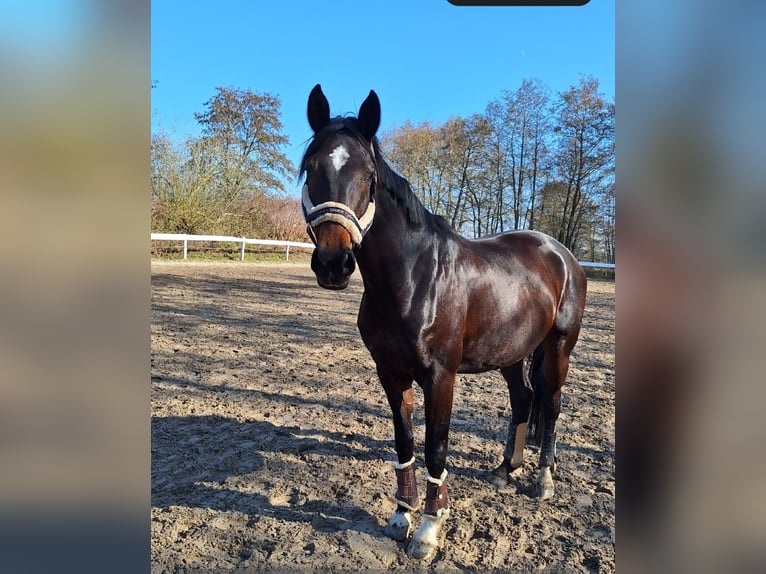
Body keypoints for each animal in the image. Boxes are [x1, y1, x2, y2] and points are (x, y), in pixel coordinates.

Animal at [299, 84, 587, 559]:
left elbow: (436, 448)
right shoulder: (390, 373)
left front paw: (428, 531)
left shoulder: (441, 377)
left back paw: (543, 479)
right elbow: (404, 442)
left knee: (550, 403)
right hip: (512, 352)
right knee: (523, 399)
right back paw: (505, 470)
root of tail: (561, 254)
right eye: (310, 169)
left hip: (558, 345)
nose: (333, 264)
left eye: (369, 175)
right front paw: (401, 517)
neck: (413, 278)